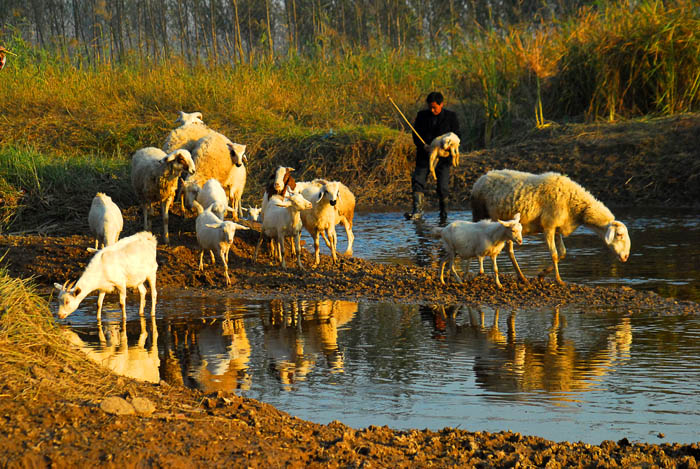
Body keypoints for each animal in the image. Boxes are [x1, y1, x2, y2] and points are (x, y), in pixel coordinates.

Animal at [470, 170, 628, 284]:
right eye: (619, 234)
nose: (626, 257)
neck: (576, 206)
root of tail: (480, 179)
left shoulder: (557, 228)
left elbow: (563, 253)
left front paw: (541, 274)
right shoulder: (549, 226)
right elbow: (554, 254)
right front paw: (558, 280)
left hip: (509, 228)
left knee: (509, 251)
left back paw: (522, 277)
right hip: (481, 214)